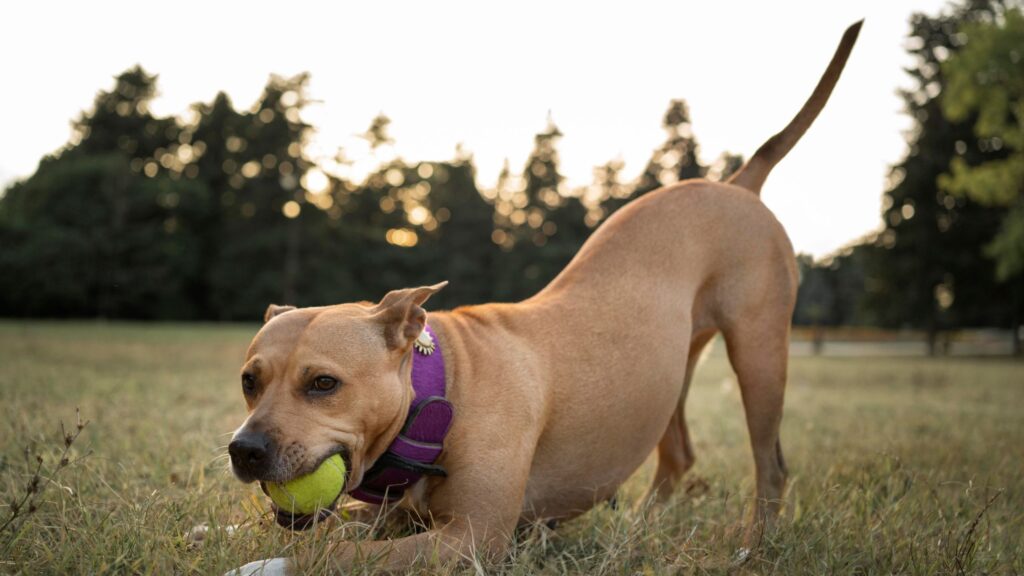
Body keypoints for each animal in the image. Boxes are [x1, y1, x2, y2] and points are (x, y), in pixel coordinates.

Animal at [226, 20, 864, 569]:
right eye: (249, 381)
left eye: (323, 384)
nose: (244, 450)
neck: (439, 388)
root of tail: (736, 185)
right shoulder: (399, 517)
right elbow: (319, 527)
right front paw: (225, 529)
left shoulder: (470, 537)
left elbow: (333, 552)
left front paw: (263, 563)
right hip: (671, 370)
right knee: (679, 455)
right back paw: (641, 529)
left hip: (759, 352)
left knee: (771, 465)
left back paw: (754, 546)